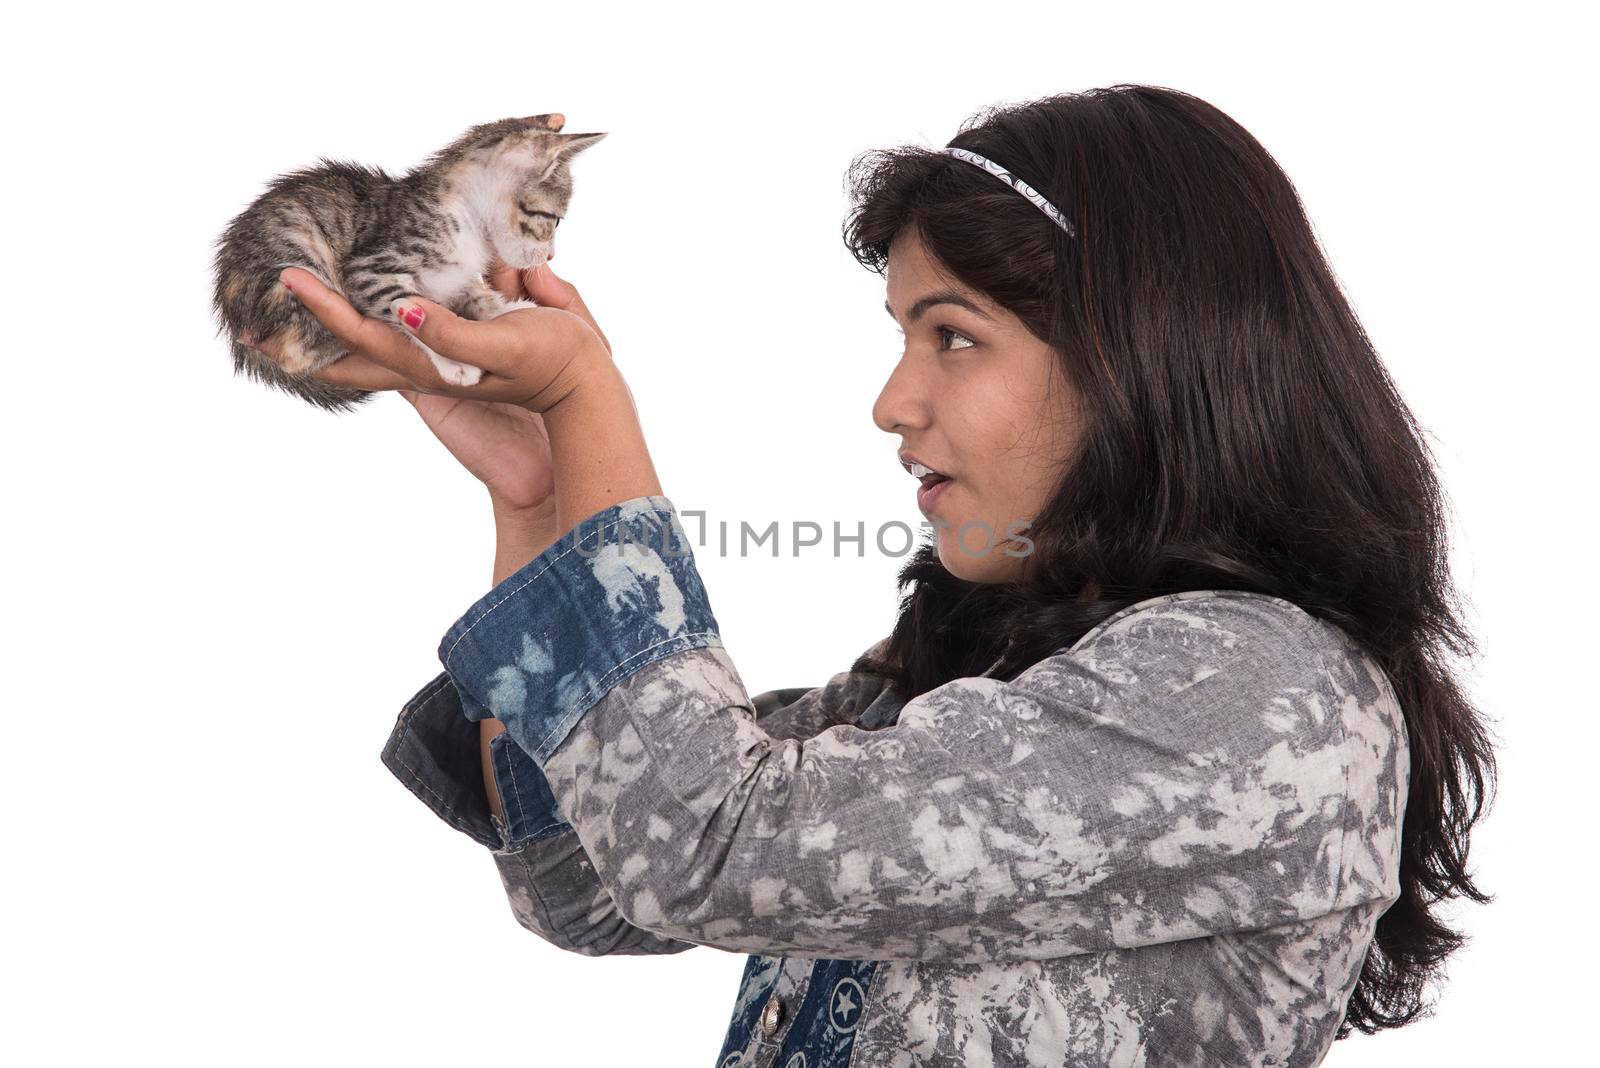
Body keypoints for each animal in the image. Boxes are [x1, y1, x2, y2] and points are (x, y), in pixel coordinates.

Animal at [212, 115, 604, 412]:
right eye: (554, 220)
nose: (549, 257)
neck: (466, 217)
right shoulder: (370, 268)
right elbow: (411, 304)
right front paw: (455, 362)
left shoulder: (458, 276)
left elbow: (474, 293)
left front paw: (506, 309)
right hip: (294, 261)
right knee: (295, 353)